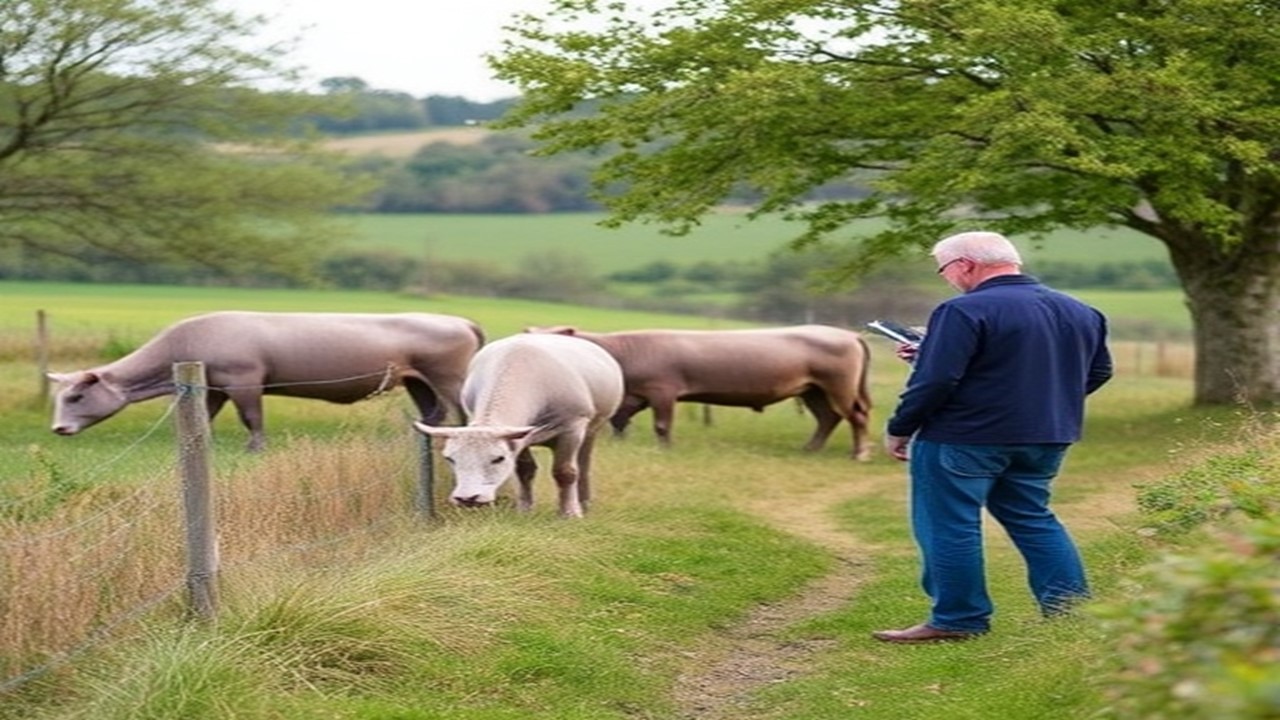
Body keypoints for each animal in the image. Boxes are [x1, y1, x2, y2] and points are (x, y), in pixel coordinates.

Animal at [47, 308, 481, 448]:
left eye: (75, 397)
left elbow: (252, 417)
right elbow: (205, 417)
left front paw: (255, 447)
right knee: (433, 413)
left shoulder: (245, 382)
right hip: (418, 381)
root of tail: (459, 320)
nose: (58, 429)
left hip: (449, 378)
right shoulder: (214, 386)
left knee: (460, 414)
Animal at [414, 330, 624, 515]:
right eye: (450, 459)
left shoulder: (572, 429)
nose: (467, 498)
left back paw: (584, 502)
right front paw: (524, 510)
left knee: (583, 464)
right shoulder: (520, 436)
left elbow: (565, 473)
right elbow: (524, 470)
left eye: (498, 458)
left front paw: (570, 513)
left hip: (592, 428)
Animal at [524, 322, 875, 456]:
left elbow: (662, 425)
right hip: (813, 390)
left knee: (856, 416)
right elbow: (619, 422)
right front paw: (620, 442)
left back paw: (859, 454)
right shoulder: (631, 398)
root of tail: (848, 334)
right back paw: (810, 449)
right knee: (828, 418)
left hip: (839, 386)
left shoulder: (663, 390)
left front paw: (666, 449)